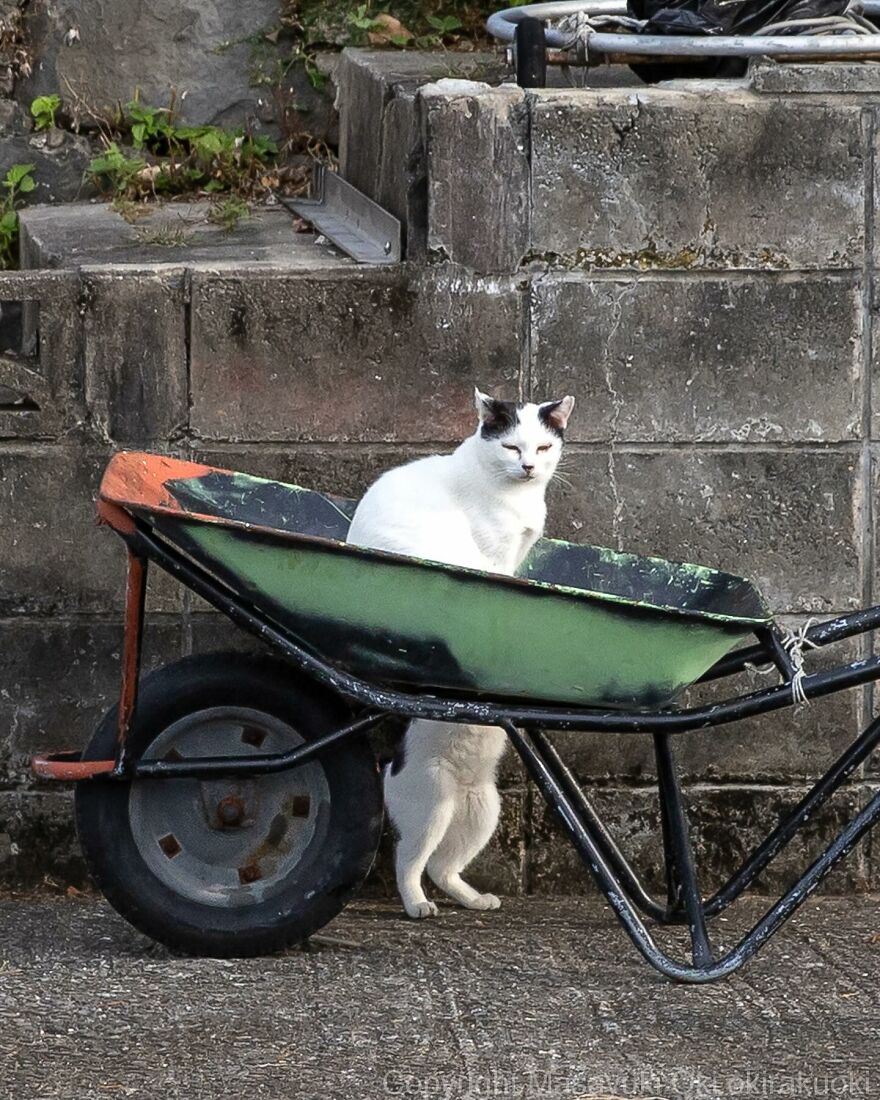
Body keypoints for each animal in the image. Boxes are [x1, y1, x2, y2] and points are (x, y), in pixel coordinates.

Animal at [347, 389, 572, 919]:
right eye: (511, 446)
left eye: (543, 447)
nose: (529, 467)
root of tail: (390, 765)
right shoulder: (495, 559)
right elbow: (502, 595)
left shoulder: (517, 554)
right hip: (432, 805)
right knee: (408, 860)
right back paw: (416, 905)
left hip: (482, 809)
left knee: (442, 867)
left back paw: (473, 899)